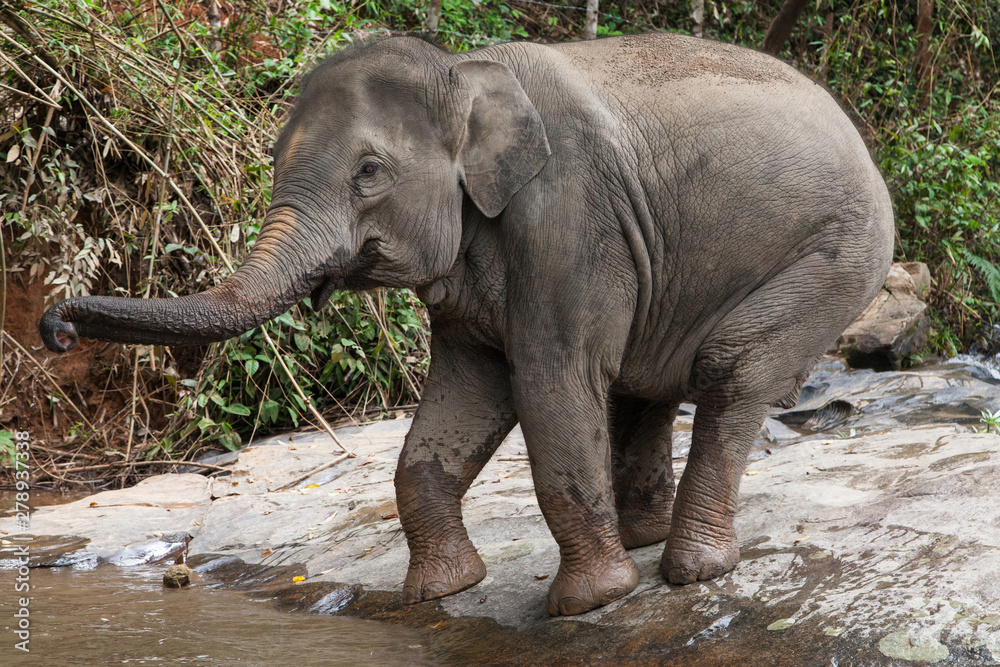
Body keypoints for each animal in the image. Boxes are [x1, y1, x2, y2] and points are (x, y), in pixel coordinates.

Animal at [40, 33, 894, 616]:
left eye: (369, 173)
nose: (55, 327)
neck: (463, 75)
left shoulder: (567, 218)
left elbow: (549, 383)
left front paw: (587, 602)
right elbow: (462, 399)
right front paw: (439, 591)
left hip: (839, 253)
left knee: (727, 368)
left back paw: (693, 569)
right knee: (642, 384)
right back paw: (647, 539)